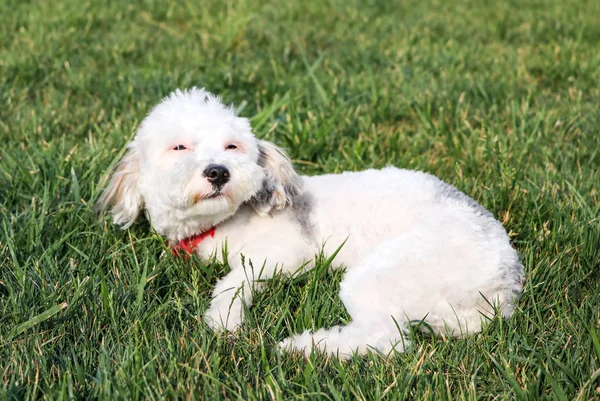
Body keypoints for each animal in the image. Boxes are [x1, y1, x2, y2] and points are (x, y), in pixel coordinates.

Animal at [96, 87, 524, 356]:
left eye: (232, 146)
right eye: (179, 147)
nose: (218, 172)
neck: (222, 222)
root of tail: (506, 280)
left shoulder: (286, 254)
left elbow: (233, 279)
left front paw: (224, 320)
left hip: (387, 271)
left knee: (388, 339)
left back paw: (304, 348)